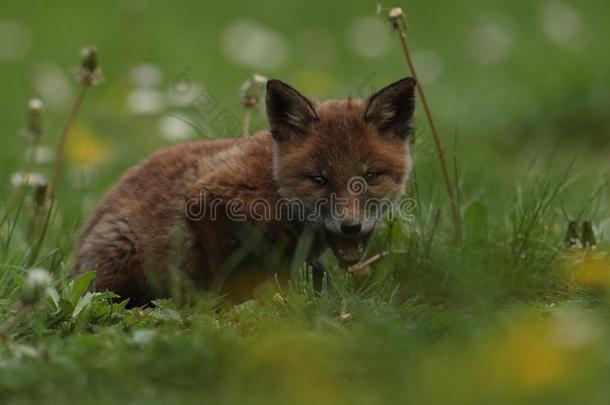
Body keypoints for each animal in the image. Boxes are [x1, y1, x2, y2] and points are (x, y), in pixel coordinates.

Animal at [71, 76, 414, 304]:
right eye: (319, 180)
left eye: (370, 177)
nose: (350, 226)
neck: (276, 188)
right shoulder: (208, 200)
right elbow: (228, 281)